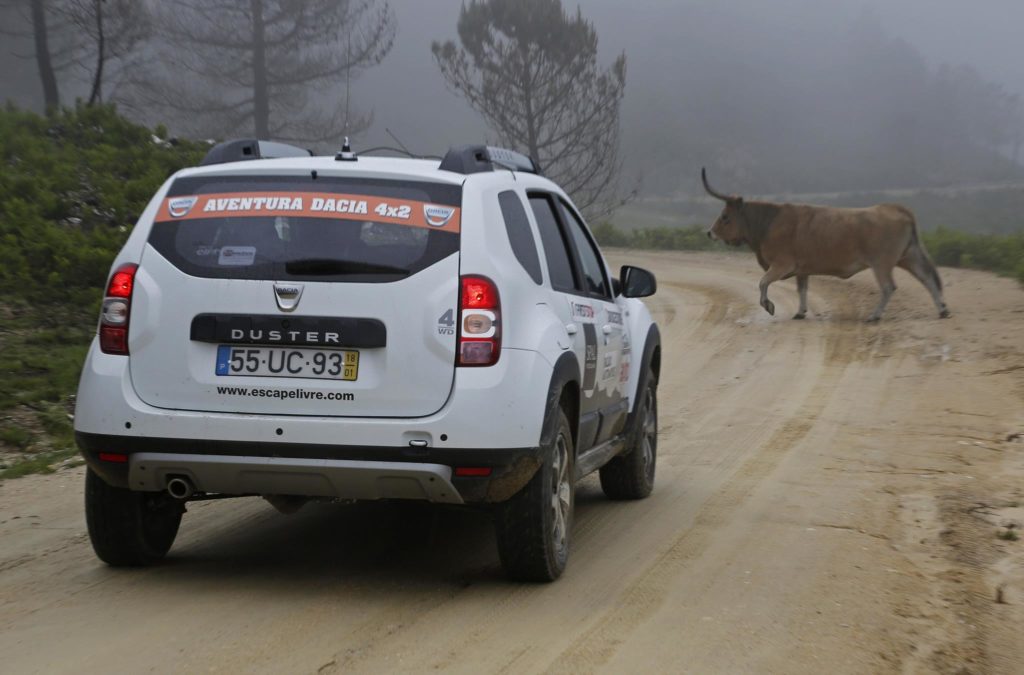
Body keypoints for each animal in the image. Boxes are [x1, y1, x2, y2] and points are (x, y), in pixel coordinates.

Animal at [704, 169, 950, 321]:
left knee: (889, 287)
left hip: (882, 263)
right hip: (908, 257)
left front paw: (768, 305)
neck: (769, 221)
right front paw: (800, 312)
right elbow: (802, 289)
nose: (709, 232)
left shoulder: (781, 264)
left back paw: (874, 316)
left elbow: (763, 282)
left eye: (725, 216)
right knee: (928, 278)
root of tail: (896, 207)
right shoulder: (801, 269)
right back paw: (942, 310)